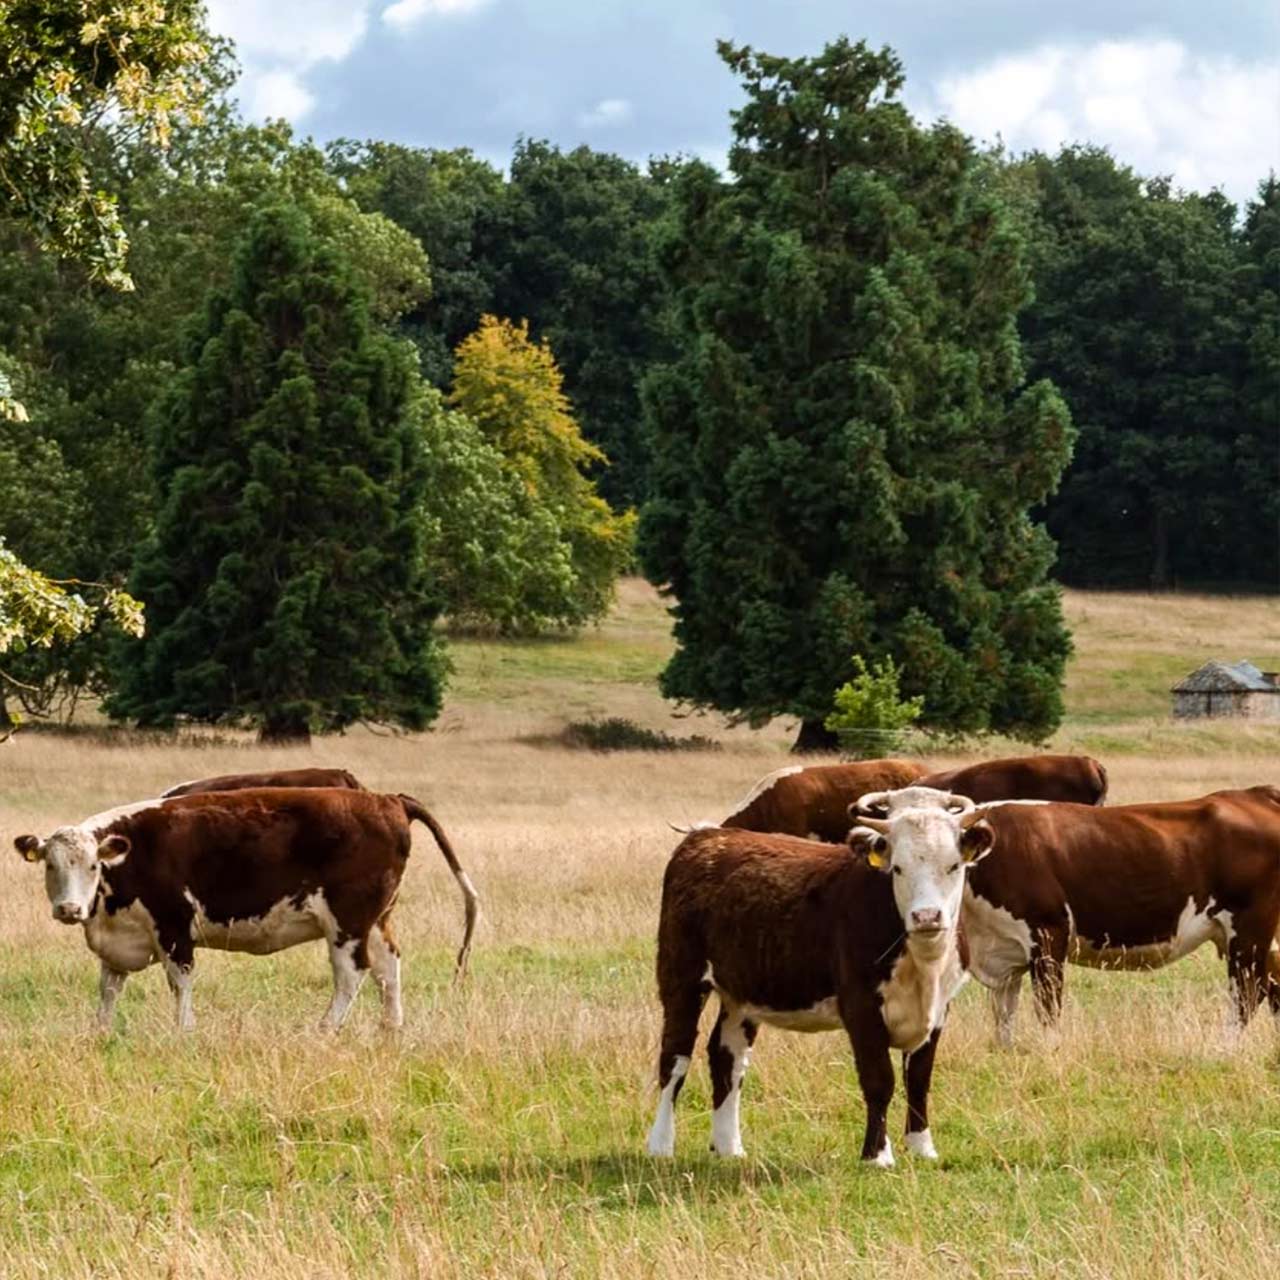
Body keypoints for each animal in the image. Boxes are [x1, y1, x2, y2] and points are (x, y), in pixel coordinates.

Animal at [14, 787, 480, 1032]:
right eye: (51, 865)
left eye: (93, 865)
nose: (69, 908)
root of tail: (386, 799)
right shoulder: (118, 940)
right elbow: (109, 990)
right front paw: (101, 1033)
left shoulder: (174, 928)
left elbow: (180, 983)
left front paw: (184, 1031)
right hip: (376, 919)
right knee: (389, 968)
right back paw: (391, 1030)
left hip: (346, 922)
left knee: (353, 974)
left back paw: (324, 1030)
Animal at [645, 789, 994, 1166]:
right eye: (898, 868)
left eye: (953, 866)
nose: (927, 916)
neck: (923, 964)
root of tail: (707, 836)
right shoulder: (861, 1007)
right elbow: (879, 1080)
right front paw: (877, 1154)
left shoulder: (939, 1009)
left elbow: (918, 1079)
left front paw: (922, 1147)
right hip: (682, 978)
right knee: (675, 1057)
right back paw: (660, 1144)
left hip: (741, 993)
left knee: (728, 1059)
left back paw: (729, 1147)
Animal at [853, 787, 1280, 1047]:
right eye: (898, 867)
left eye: (953, 864)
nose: (927, 916)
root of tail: (1253, 794)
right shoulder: (1003, 955)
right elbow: (1003, 1017)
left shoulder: (1048, 934)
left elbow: (1047, 1009)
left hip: (1248, 932)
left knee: (1246, 994)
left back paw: (1225, 1048)